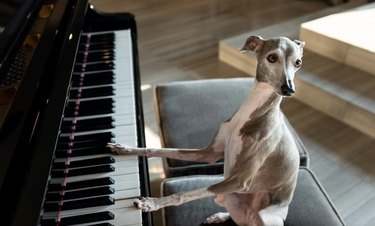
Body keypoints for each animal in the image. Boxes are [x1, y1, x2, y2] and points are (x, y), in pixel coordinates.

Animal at [106, 35, 306, 226]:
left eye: (298, 63)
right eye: (272, 57)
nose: (289, 89)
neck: (251, 112)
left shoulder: (241, 180)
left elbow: (184, 194)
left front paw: (151, 203)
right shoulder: (209, 153)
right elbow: (161, 150)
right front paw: (124, 149)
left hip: (263, 215)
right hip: (227, 198)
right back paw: (220, 216)